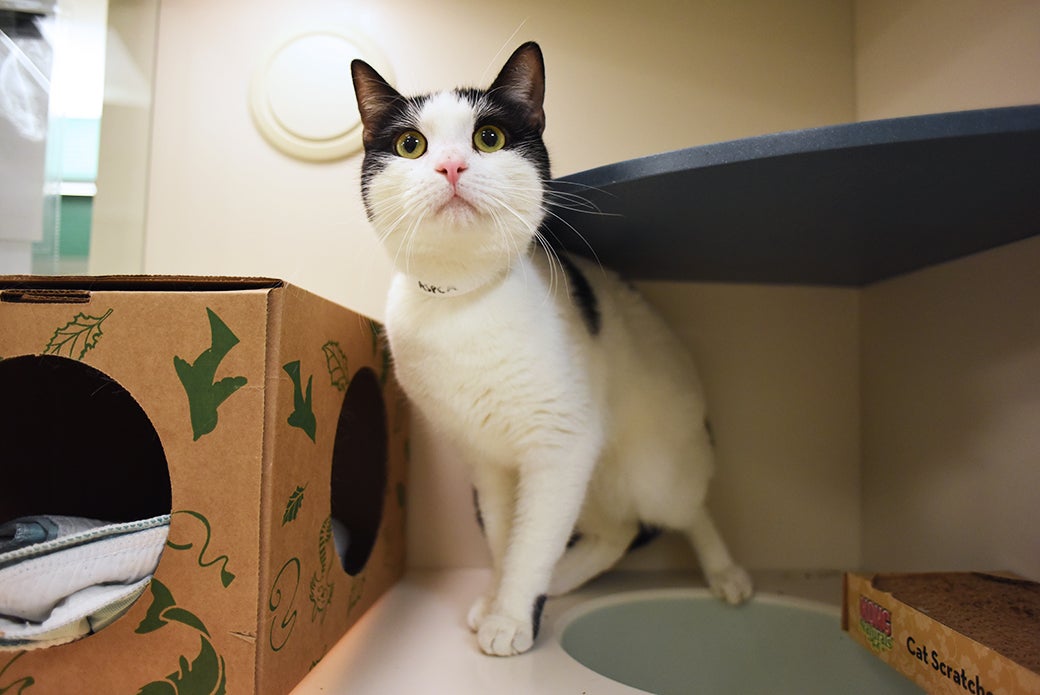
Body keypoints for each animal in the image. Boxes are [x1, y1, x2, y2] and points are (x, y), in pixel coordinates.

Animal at [351, 41, 752, 656]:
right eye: (410, 145)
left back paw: (725, 573)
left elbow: (532, 540)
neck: (462, 303)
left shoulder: (559, 445)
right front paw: (500, 600)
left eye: (488, 137)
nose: (451, 166)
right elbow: (505, 540)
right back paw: (563, 578)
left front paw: (512, 617)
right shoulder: (488, 462)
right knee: (617, 531)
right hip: (595, 478)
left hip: (653, 467)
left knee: (687, 510)